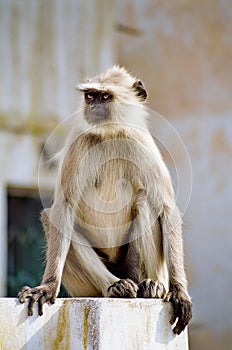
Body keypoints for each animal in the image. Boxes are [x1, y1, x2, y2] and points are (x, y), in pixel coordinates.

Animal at [17, 65, 192, 334]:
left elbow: (167, 209)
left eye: (105, 97)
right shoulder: (79, 143)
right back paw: (115, 286)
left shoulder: (141, 142)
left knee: (145, 202)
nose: (93, 107)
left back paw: (152, 285)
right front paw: (48, 286)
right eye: (90, 96)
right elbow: (64, 207)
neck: (110, 134)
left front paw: (180, 292)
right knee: (51, 217)